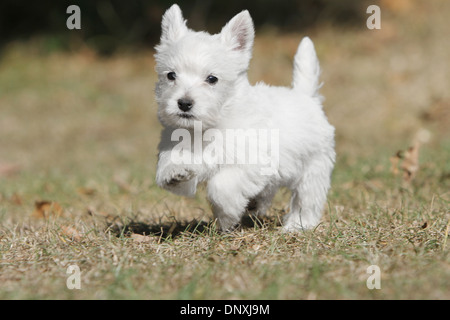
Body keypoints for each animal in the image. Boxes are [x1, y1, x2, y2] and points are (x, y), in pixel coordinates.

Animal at [155, 3, 334, 231]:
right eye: (171, 75)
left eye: (212, 79)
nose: (184, 103)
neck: (209, 126)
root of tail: (305, 95)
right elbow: (175, 165)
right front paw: (173, 172)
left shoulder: (253, 163)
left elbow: (220, 187)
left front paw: (228, 215)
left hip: (313, 168)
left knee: (306, 200)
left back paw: (297, 226)